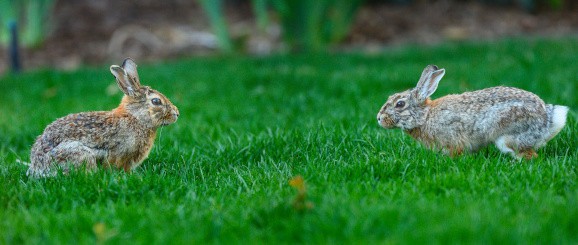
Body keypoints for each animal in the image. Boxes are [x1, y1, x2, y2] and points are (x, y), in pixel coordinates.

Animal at [26, 58, 178, 177]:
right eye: (156, 101)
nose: (176, 114)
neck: (135, 117)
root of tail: (37, 167)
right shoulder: (119, 153)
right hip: (80, 154)